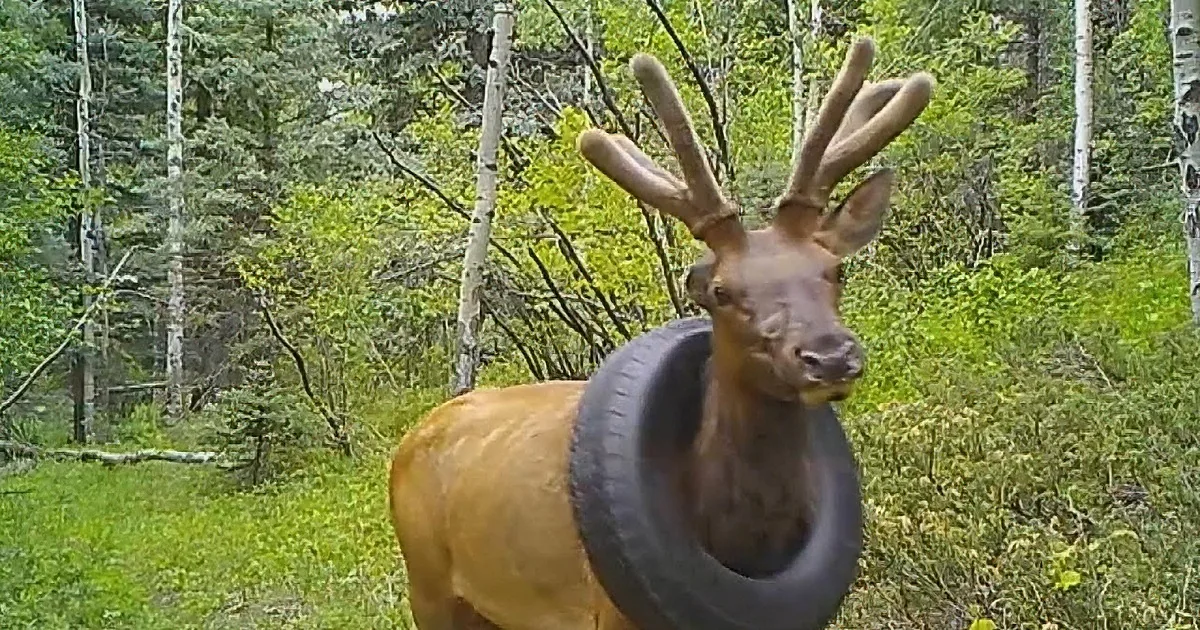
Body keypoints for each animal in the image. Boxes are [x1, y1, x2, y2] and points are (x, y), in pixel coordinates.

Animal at [388, 36, 933, 630]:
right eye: (721, 290)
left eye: (835, 269)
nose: (829, 356)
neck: (740, 540)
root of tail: (413, 436)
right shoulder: (610, 609)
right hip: (428, 584)